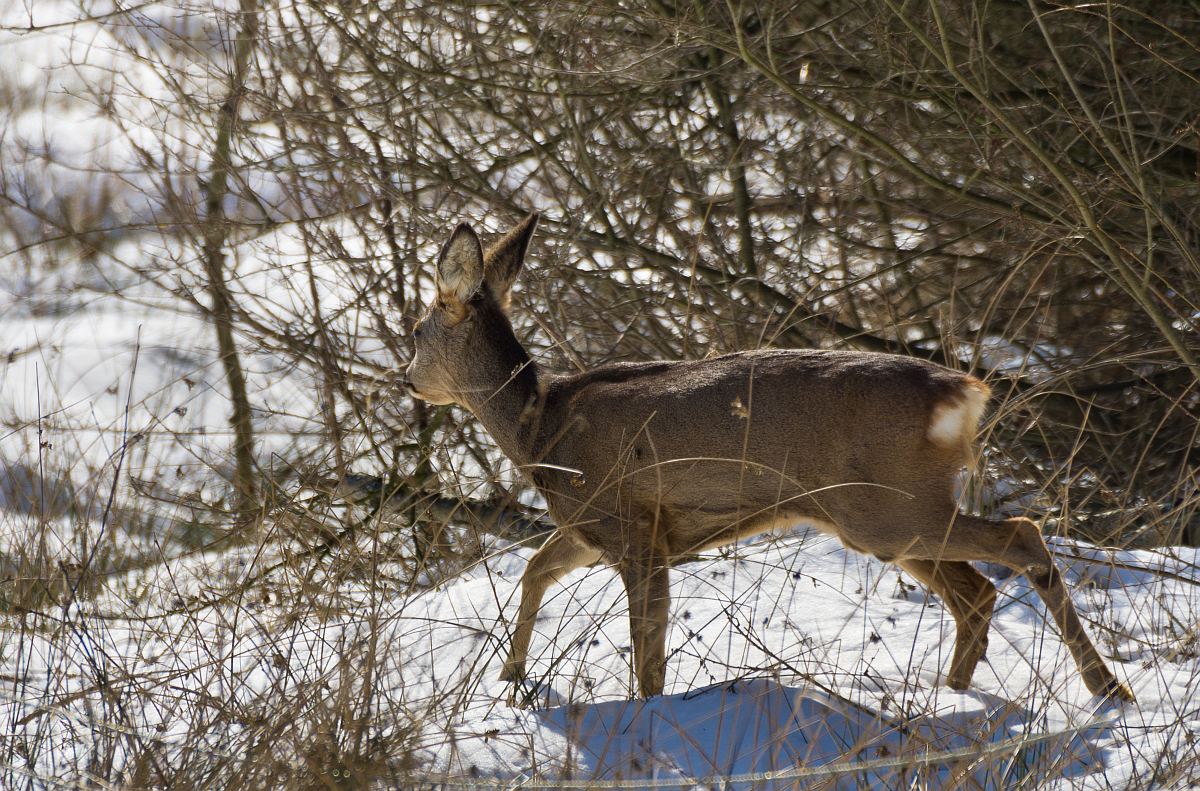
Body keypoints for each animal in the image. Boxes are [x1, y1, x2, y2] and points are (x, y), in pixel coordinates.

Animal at [403, 213, 1132, 700]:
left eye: (414, 329)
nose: (409, 380)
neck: (541, 428)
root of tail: (965, 393)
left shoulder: (628, 523)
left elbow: (646, 646)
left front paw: (645, 713)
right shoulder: (595, 526)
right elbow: (535, 570)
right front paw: (510, 679)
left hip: (889, 509)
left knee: (1022, 535)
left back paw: (1106, 687)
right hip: (889, 513)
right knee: (977, 591)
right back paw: (952, 693)